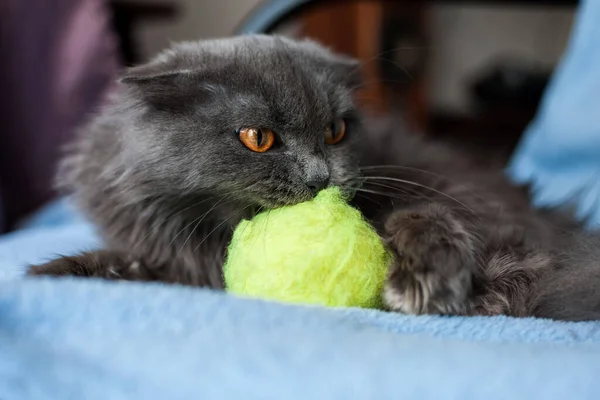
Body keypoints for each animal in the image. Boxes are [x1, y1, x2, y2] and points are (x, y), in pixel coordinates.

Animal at [29, 35, 600, 322]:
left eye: (335, 131)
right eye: (257, 138)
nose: (320, 176)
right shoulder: (172, 253)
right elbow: (133, 264)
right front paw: (57, 272)